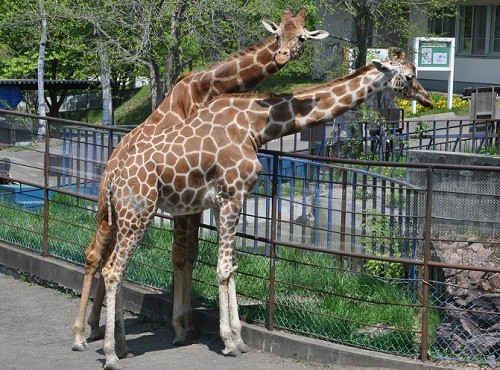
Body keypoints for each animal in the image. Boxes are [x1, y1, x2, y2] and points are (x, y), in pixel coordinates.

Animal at [71, 5, 328, 356]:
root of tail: (110, 163)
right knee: (95, 255)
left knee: (108, 255)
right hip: (114, 207)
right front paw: (182, 327)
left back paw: (99, 327)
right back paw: (80, 334)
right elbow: (182, 254)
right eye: (277, 34)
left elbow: (189, 254)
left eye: (300, 36)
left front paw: (188, 324)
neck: (206, 88)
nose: (282, 54)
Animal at [98, 49, 434, 370]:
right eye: (408, 75)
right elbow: (223, 268)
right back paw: (111, 355)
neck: (255, 125)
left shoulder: (223, 201)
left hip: (127, 215)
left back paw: (124, 348)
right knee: (112, 270)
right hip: (138, 212)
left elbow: (232, 266)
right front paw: (229, 342)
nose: (427, 98)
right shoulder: (233, 195)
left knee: (114, 267)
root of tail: (112, 177)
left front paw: (239, 338)